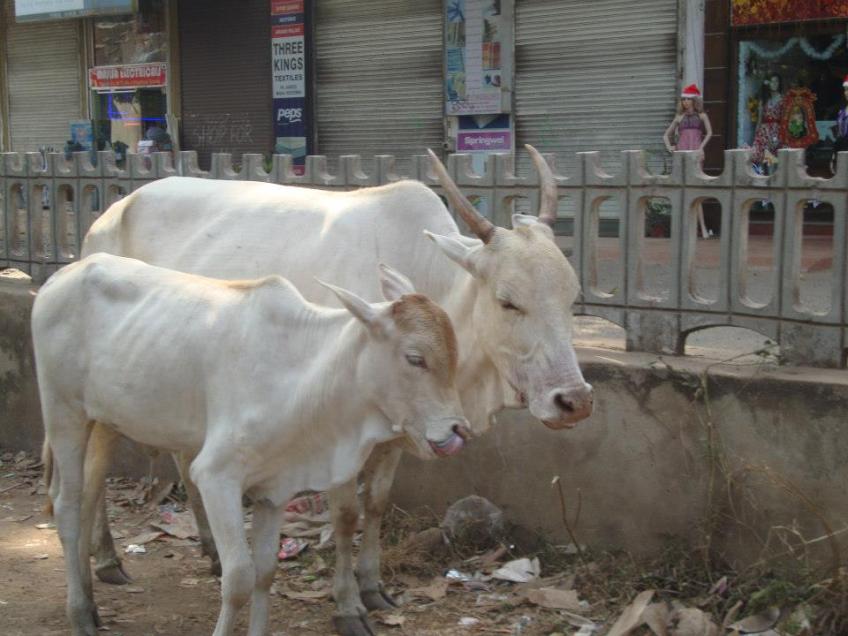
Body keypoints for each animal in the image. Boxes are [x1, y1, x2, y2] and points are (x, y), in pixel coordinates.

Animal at [34, 253, 468, 636]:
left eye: (453, 357)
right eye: (415, 358)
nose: (459, 429)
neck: (306, 373)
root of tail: (63, 275)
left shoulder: (274, 490)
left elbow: (265, 572)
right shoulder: (216, 477)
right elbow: (240, 578)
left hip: (103, 421)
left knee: (88, 498)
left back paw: (92, 601)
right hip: (63, 412)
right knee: (67, 506)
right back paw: (80, 615)